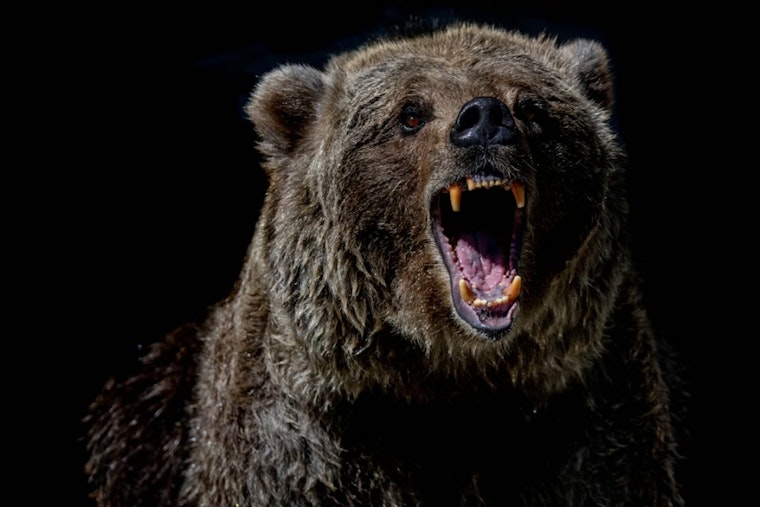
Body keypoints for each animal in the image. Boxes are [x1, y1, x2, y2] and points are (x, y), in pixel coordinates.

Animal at [84, 21, 686, 506]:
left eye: (532, 108)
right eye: (410, 114)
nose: (484, 119)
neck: (448, 377)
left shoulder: (586, 425)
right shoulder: (300, 444)